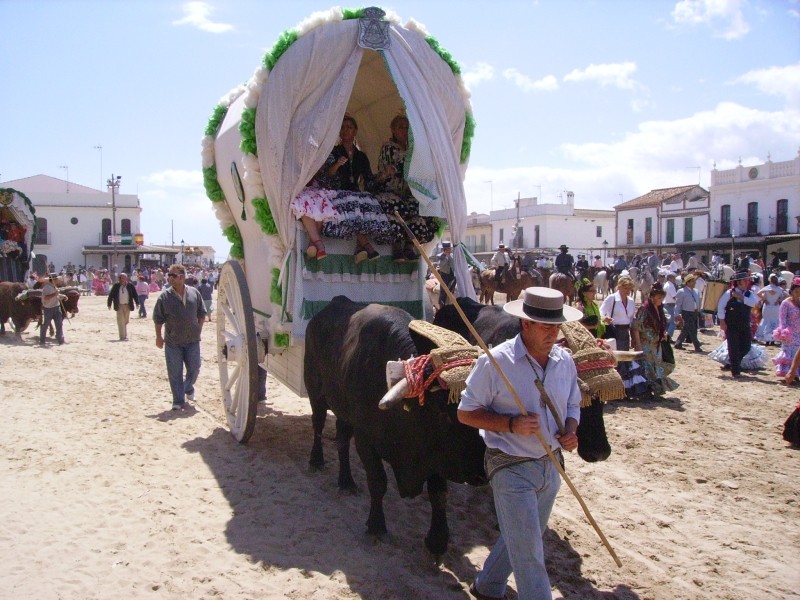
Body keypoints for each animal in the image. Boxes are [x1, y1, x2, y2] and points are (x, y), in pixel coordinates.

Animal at [304, 296, 484, 556]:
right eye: (443, 413)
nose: (480, 473)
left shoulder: (435, 455)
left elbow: (438, 494)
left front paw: (437, 540)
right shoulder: (366, 440)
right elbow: (378, 482)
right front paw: (376, 526)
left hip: (345, 412)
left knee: (342, 440)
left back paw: (346, 480)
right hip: (315, 392)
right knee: (317, 426)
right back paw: (316, 460)